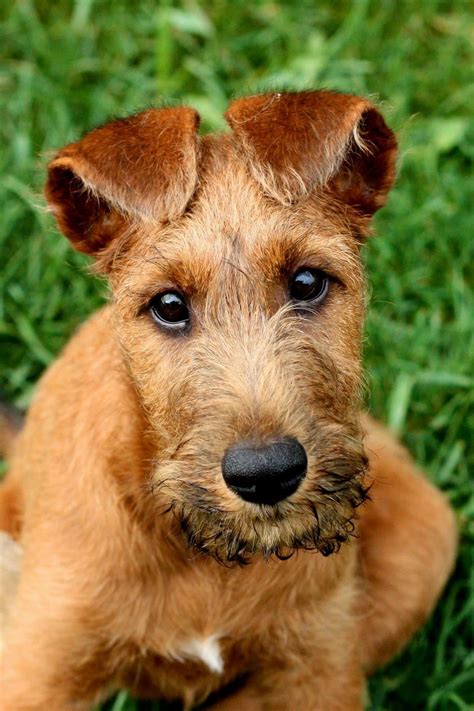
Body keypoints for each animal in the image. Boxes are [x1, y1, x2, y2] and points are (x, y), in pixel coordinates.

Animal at [0, 92, 460, 708]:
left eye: (307, 282)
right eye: (168, 304)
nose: (266, 475)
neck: (198, 551)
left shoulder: (318, 673)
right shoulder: (37, 669)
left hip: (427, 540)